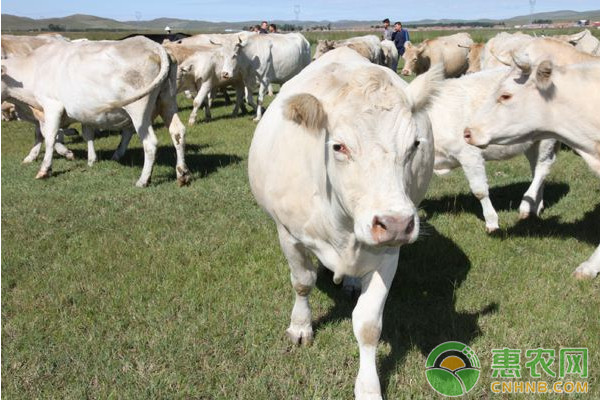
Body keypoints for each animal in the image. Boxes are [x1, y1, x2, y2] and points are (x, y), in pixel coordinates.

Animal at [1, 36, 190, 187]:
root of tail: (154, 46)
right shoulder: (79, 112)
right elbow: (85, 134)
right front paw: (91, 160)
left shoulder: (52, 106)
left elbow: (50, 137)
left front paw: (47, 167)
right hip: (167, 101)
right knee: (177, 132)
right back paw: (182, 174)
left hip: (139, 109)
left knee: (149, 142)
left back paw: (143, 180)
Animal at [247, 47, 440, 400]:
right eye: (339, 146)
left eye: (415, 145)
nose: (394, 223)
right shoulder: (288, 234)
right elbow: (302, 281)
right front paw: (301, 326)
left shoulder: (389, 253)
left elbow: (368, 324)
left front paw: (368, 386)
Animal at [426, 68, 556, 231]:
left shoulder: (470, 154)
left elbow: (480, 190)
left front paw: (492, 222)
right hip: (532, 143)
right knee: (536, 168)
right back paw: (536, 207)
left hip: (547, 139)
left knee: (543, 168)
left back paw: (526, 207)